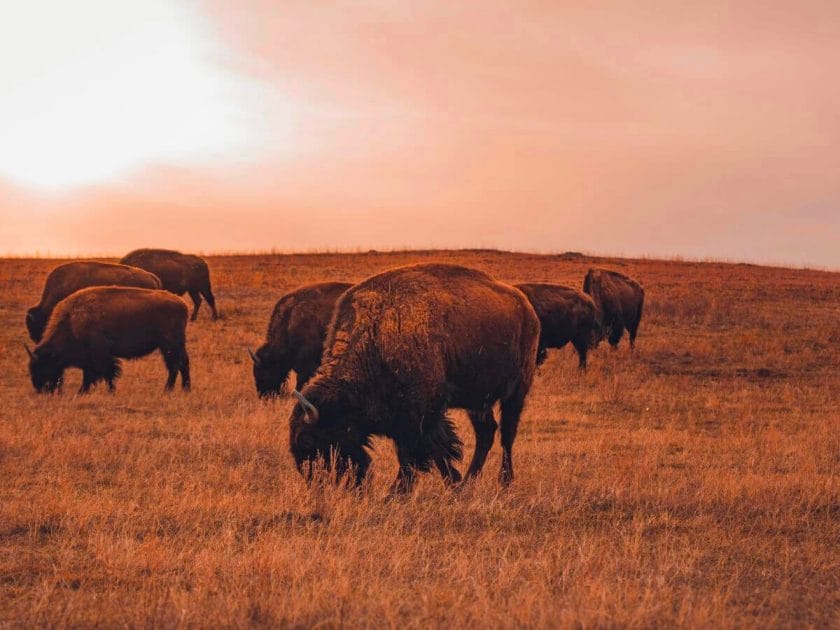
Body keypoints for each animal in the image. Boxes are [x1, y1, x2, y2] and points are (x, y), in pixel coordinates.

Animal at [27, 288, 191, 396]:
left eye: (44, 366)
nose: (40, 389)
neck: (72, 321)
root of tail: (181, 303)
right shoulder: (92, 358)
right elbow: (94, 373)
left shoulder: (99, 354)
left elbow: (105, 372)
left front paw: (102, 392)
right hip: (174, 345)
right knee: (182, 363)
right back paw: (185, 389)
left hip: (169, 344)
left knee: (175, 365)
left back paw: (168, 390)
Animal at [288, 264, 540, 496]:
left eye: (307, 441)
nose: (316, 484)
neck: (377, 335)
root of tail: (526, 307)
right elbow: (438, 449)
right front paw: (454, 485)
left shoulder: (418, 415)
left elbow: (413, 454)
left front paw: (394, 493)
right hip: (478, 400)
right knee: (486, 433)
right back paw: (469, 482)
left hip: (517, 391)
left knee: (507, 434)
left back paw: (505, 482)